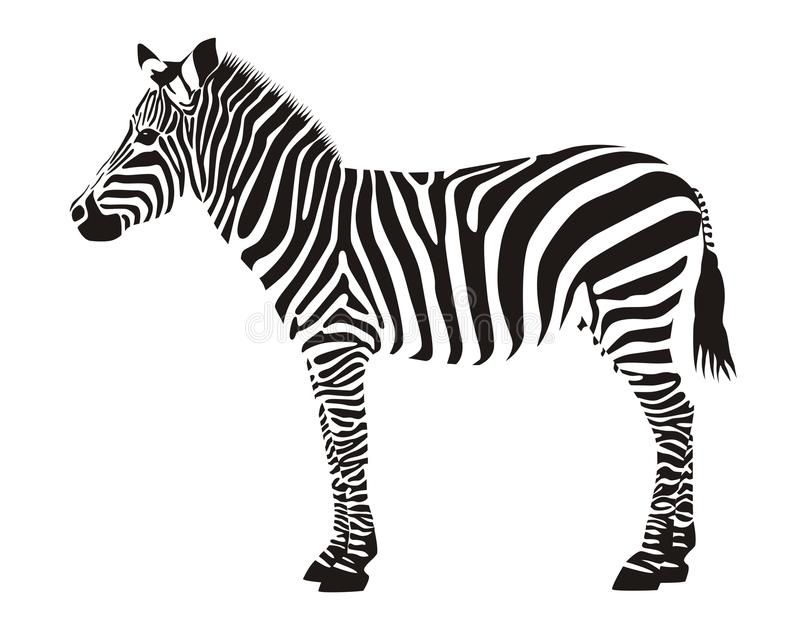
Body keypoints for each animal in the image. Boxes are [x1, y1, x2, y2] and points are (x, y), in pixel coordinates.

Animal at [69, 39, 736, 592]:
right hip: (626, 312)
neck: (302, 219)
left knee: (674, 418)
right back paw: (678, 554)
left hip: (634, 305)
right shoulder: (318, 349)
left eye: (145, 140)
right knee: (681, 412)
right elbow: (334, 449)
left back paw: (649, 562)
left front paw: (349, 565)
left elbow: (349, 446)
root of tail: (678, 178)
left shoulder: (338, 341)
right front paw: (340, 554)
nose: (76, 215)